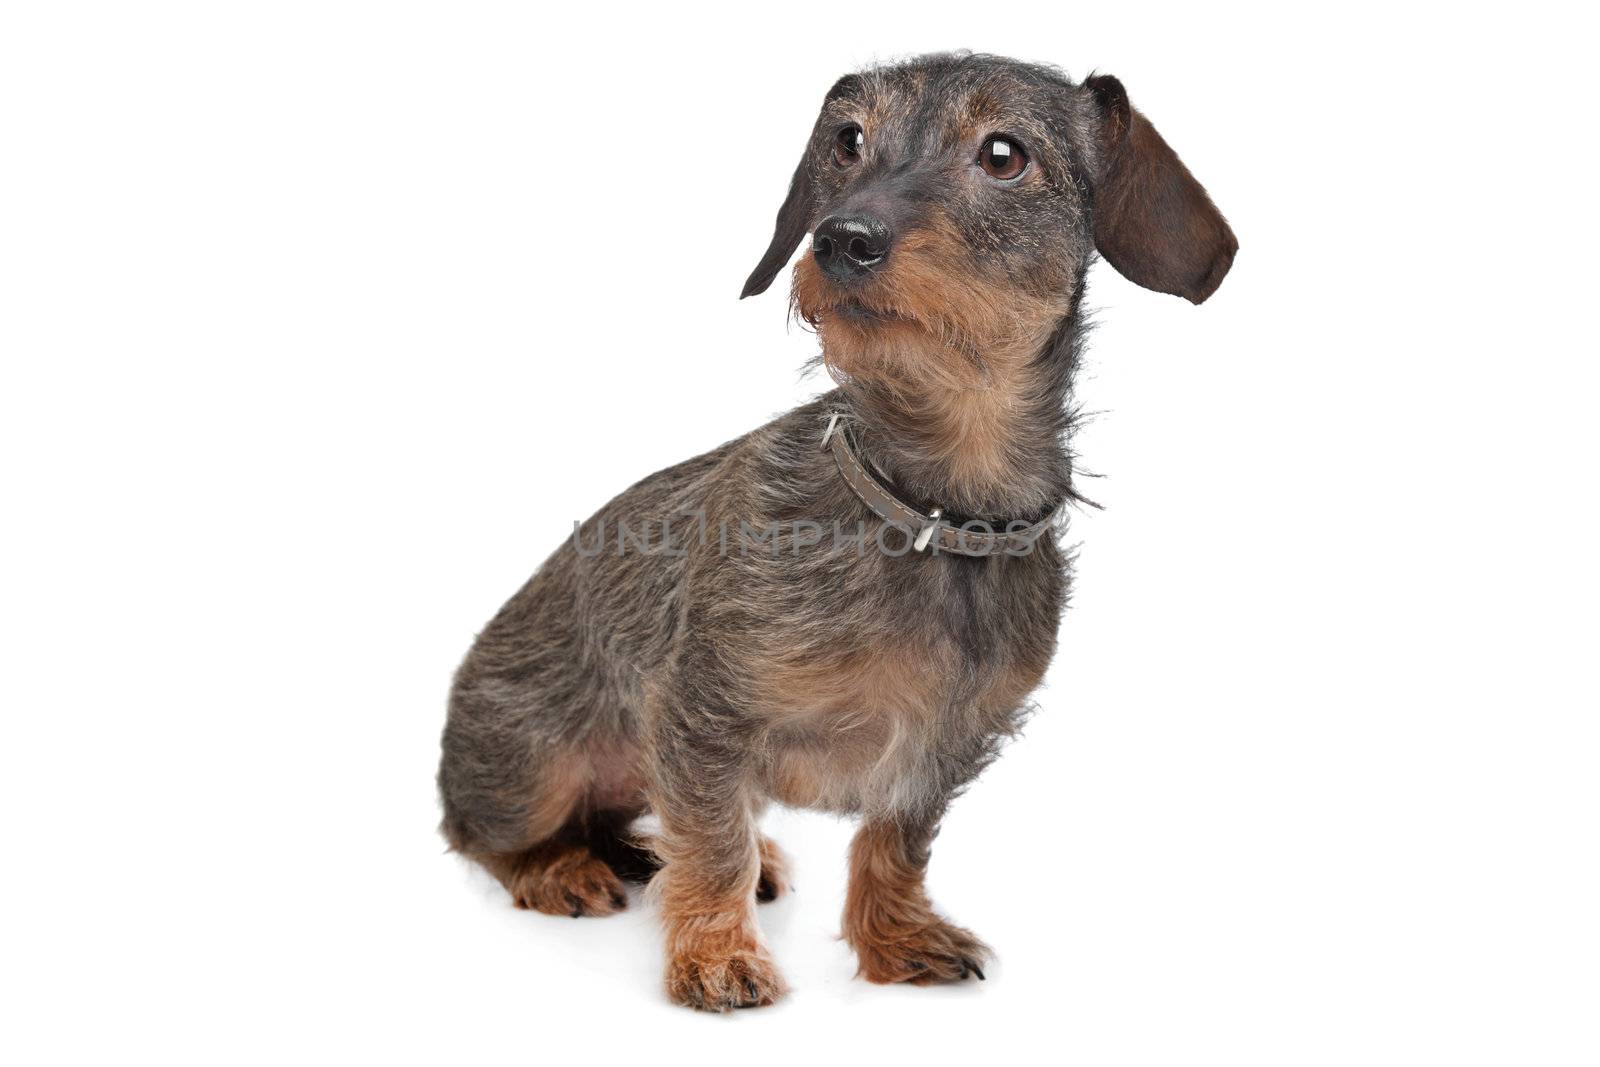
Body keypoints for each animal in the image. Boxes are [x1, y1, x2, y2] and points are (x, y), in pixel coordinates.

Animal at [438, 51, 1235, 1011]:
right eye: (848, 140)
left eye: (1004, 154)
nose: (841, 239)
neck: (926, 513)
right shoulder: (701, 712)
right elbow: (711, 843)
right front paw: (714, 955)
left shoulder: (942, 749)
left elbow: (892, 844)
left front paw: (894, 938)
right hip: (534, 768)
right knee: (480, 832)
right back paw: (557, 866)